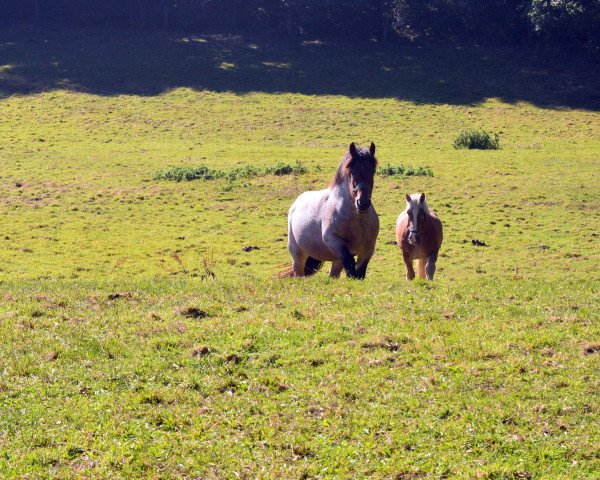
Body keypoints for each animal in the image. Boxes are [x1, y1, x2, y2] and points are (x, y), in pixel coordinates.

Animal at [286, 141, 380, 280]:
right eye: (352, 171)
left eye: (372, 170)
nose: (362, 203)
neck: (356, 220)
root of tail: (295, 204)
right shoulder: (334, 241)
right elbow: (350, 264)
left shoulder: (368, 249)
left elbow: (360, 272)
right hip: (298, 256)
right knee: (299, 273)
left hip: (336, 260)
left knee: (333, 274)